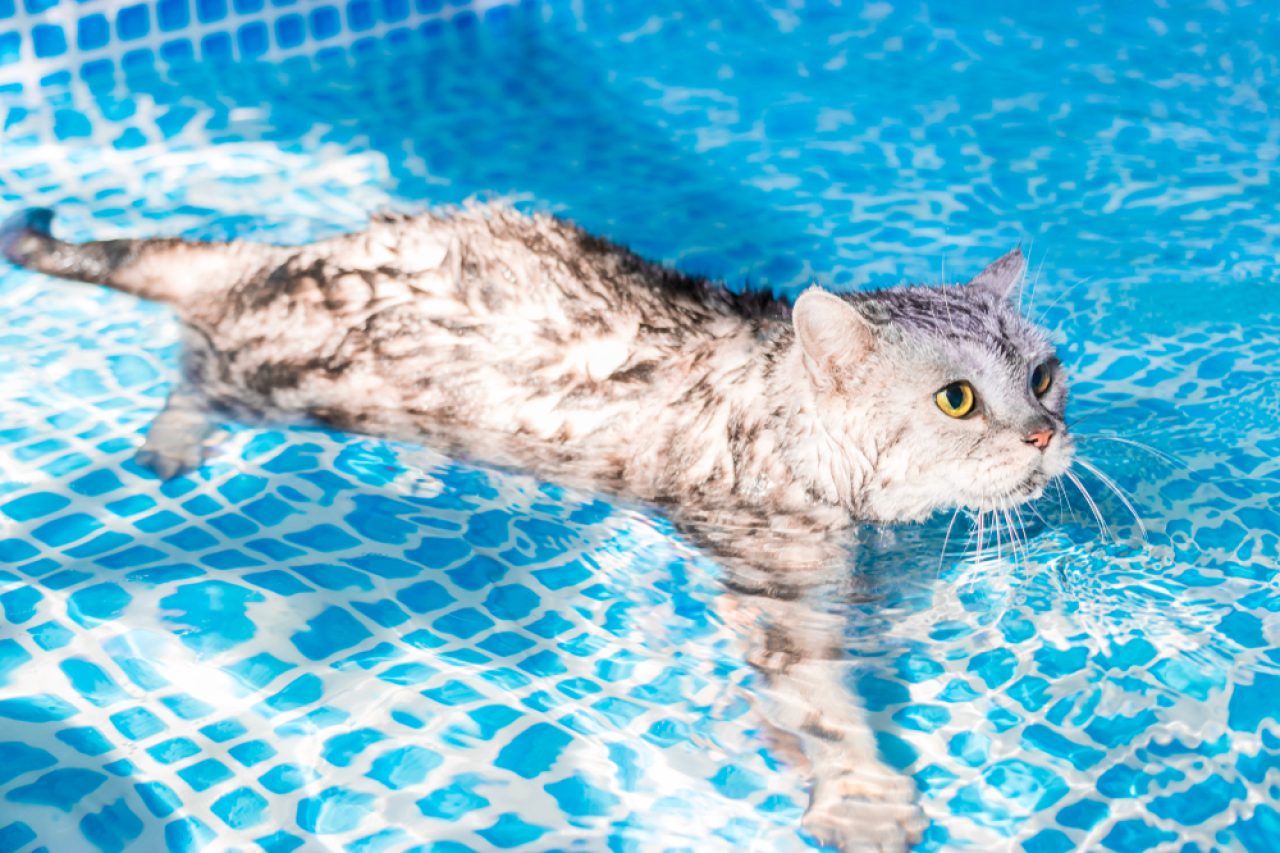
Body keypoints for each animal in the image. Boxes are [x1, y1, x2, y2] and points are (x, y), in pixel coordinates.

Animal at [0, 202, 1070, 845]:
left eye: (1042, 373)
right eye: (959, 400)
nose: (1049, 432)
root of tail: (280, 261)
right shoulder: (772, 583)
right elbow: (819, 706)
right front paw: (865, 796)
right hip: (267, 384)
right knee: (190, 372)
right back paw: (173, 440)